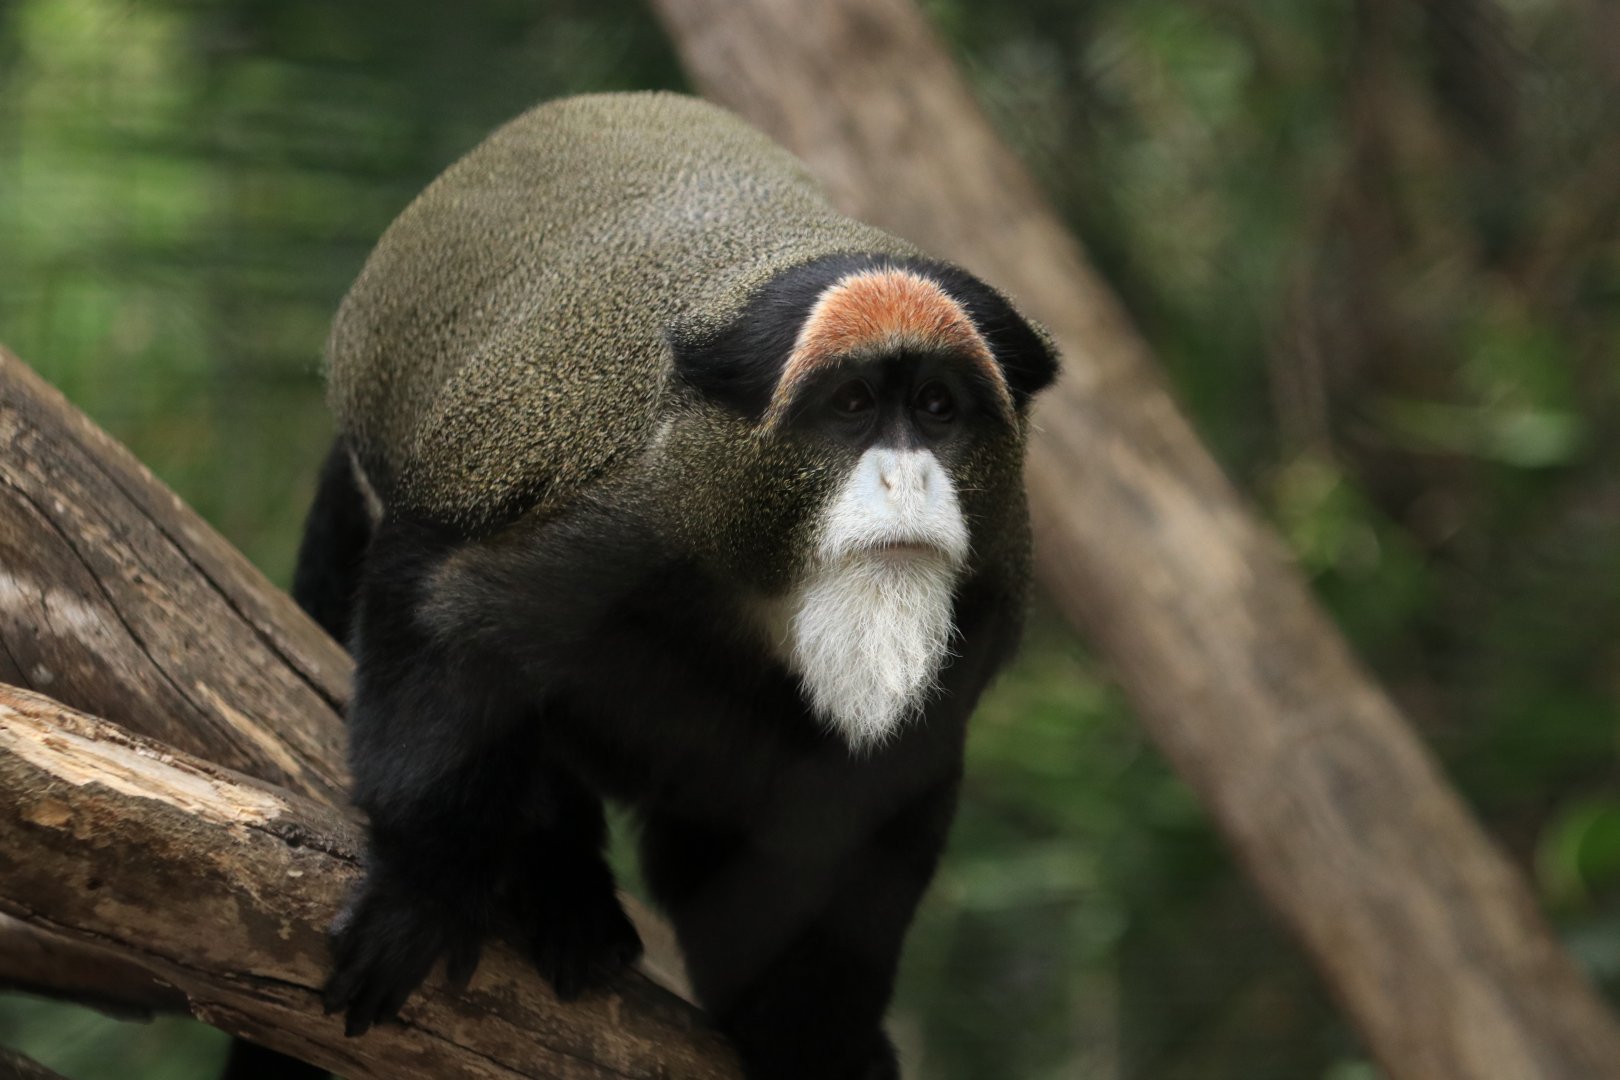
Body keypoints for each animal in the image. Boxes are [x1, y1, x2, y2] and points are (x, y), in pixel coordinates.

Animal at [296, 91, 1057, 1080]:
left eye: (936, 407)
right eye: (852, 405)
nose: (905, 479)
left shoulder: (991, 592)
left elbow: (854, 821)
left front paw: (817, 1039)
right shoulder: (624, 517)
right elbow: (445, 620)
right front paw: (418, 894)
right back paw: (562, 895)